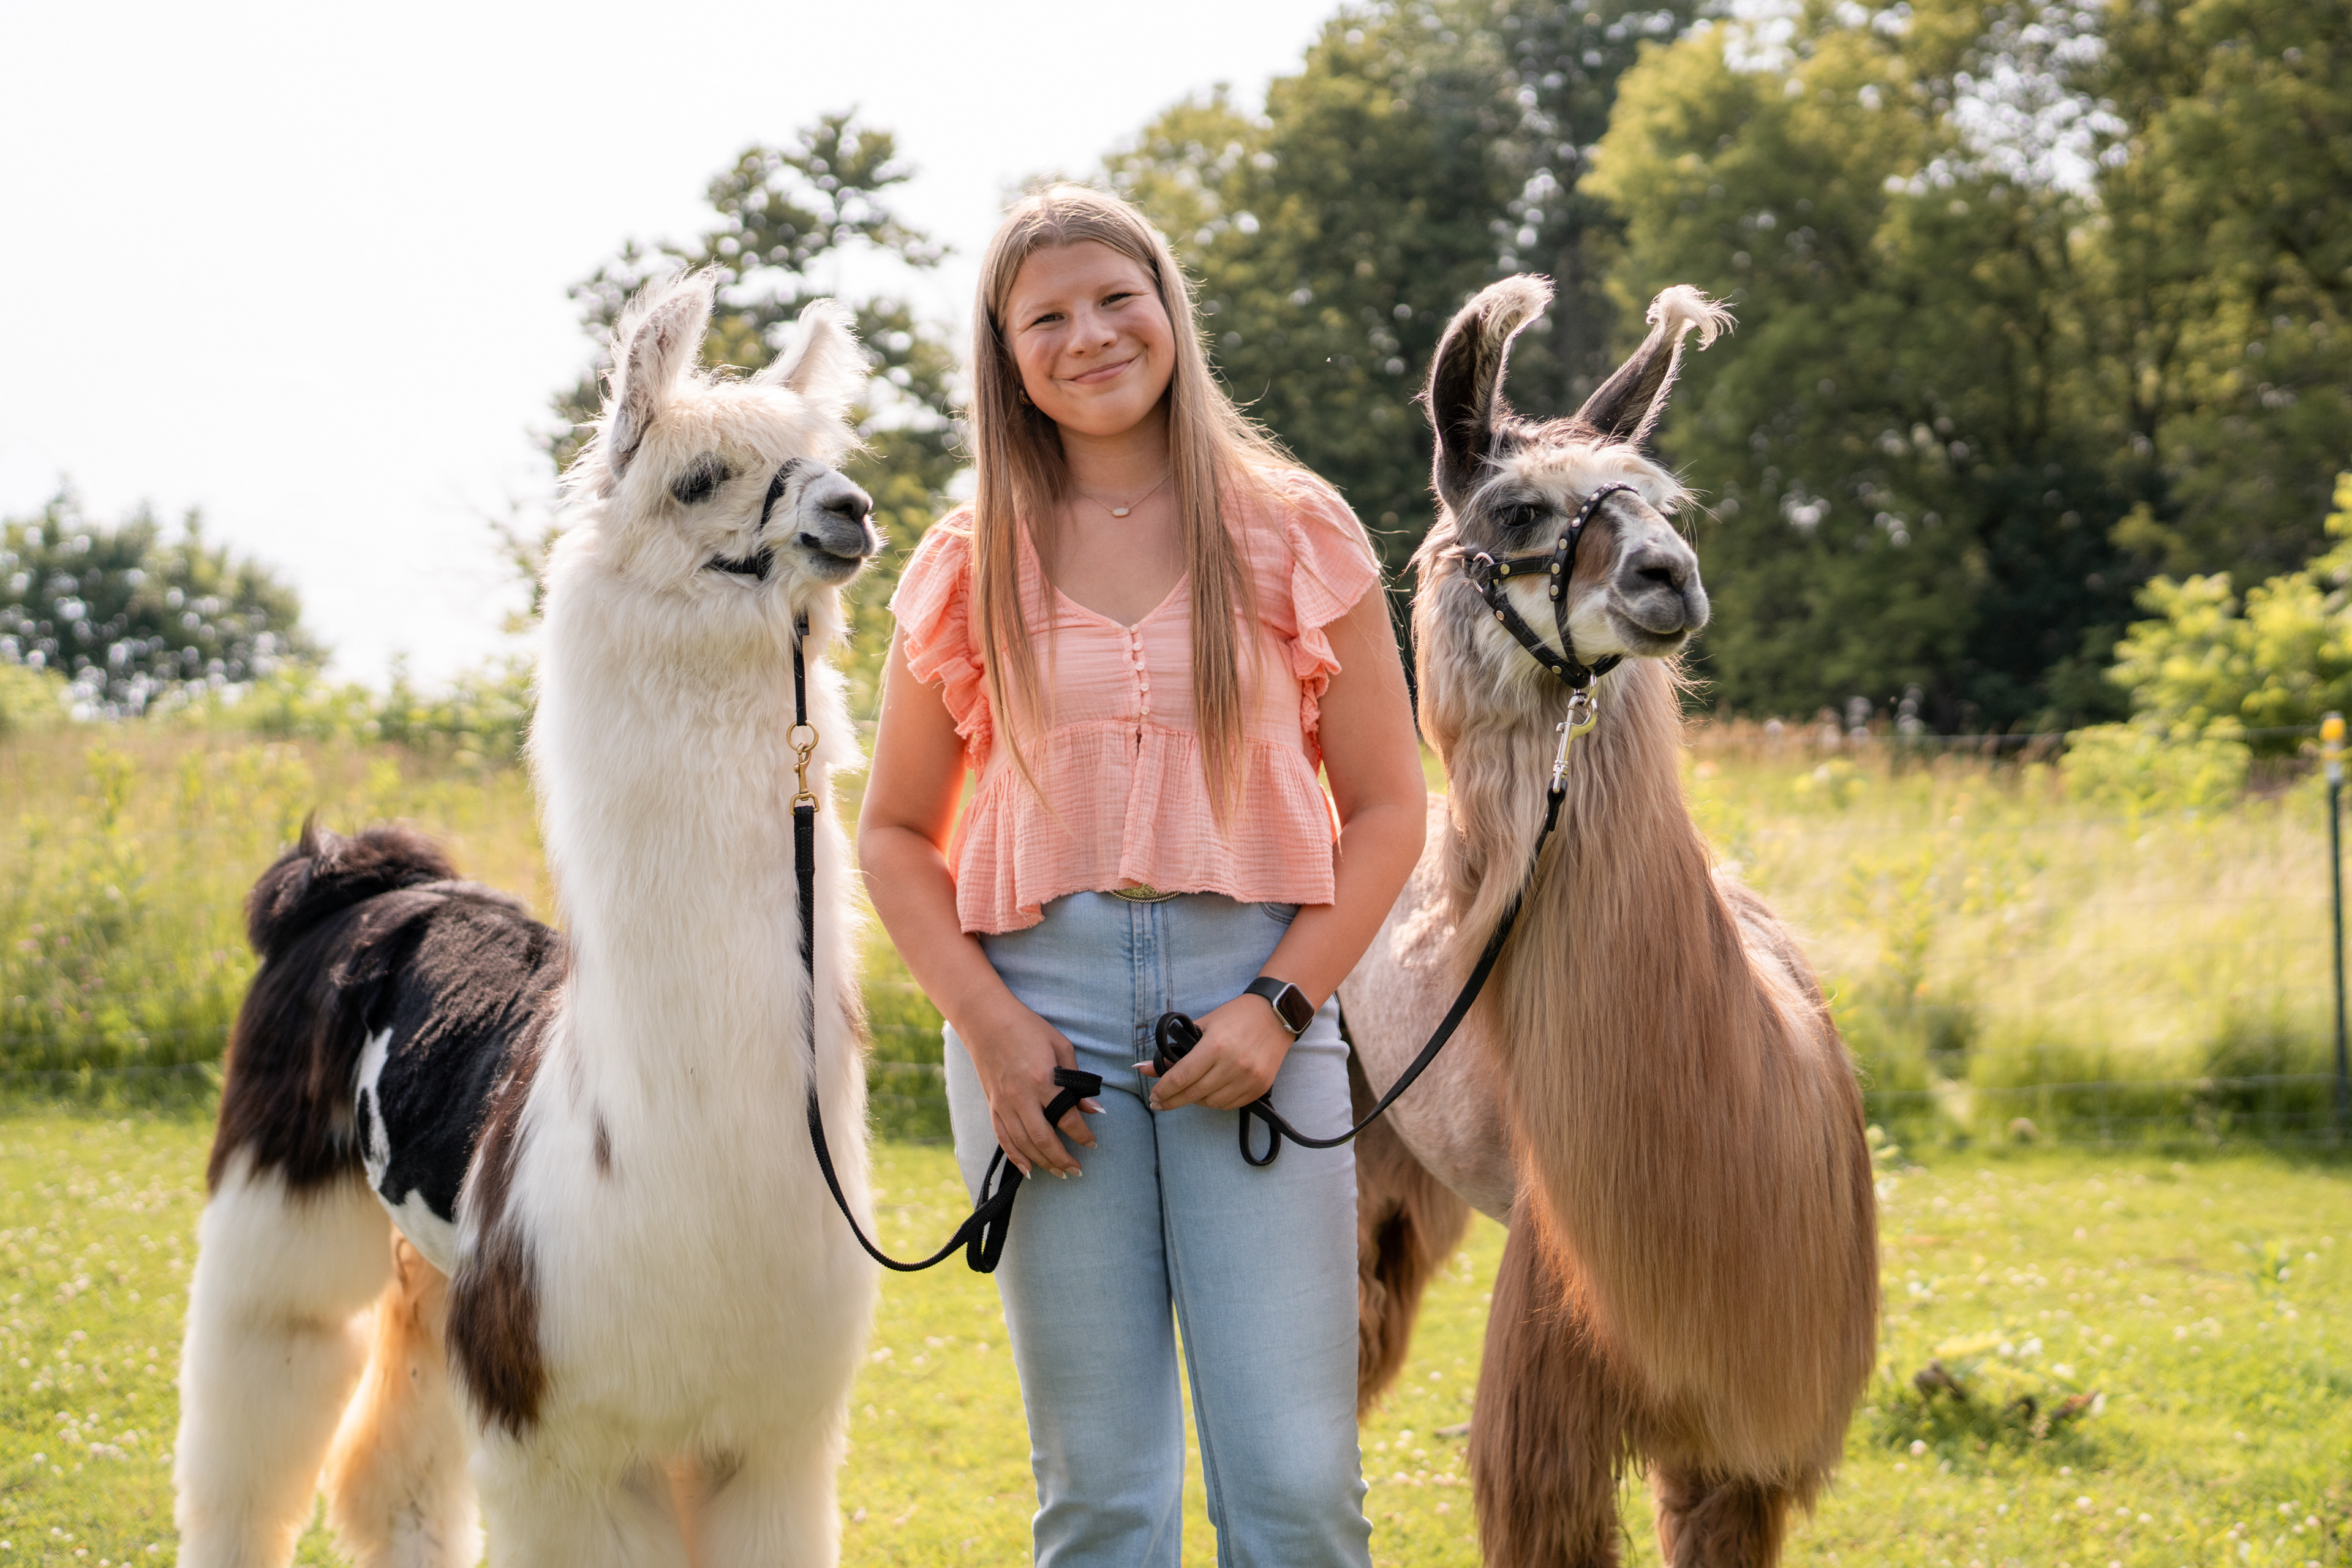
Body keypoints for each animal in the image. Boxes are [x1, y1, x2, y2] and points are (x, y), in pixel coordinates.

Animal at [173, 270, 884, 1568]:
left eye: (823, 456)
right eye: (699, 477)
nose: (850, 510)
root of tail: (367, 875)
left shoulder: (774, 1438)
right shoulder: (560, 1433)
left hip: (437, 1266)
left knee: (391, 1473)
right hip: (282, 1184)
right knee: (259, 1401)